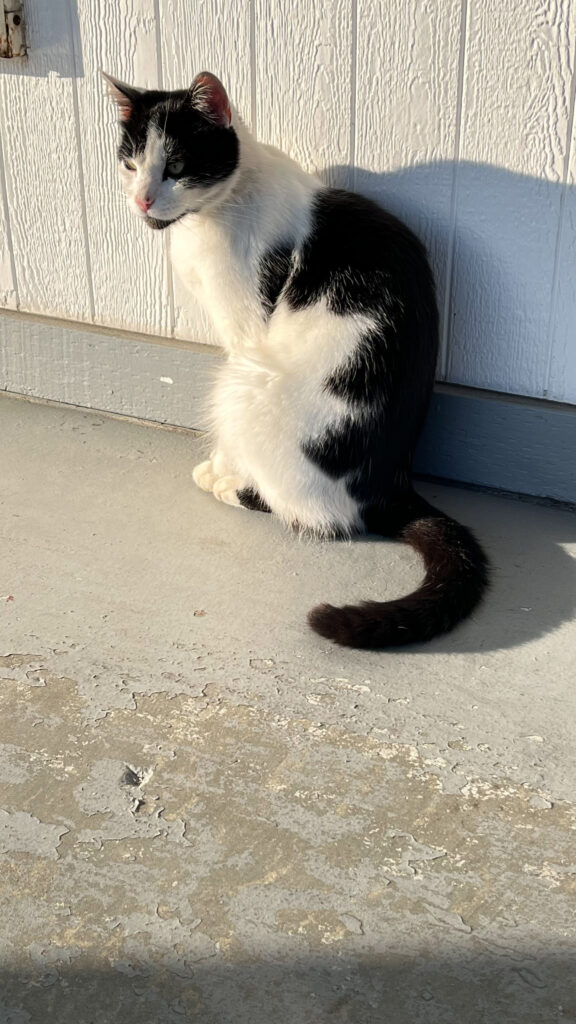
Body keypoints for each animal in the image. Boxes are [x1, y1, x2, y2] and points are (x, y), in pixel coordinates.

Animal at [105, 70, 485, 647]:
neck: (217, 209)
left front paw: (223, 466)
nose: (142, 201)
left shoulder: (245, 330)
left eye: (176, 167)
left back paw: (229, 485)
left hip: (246, 382)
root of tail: (389, 485)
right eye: (130, 163)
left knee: (317, 517)